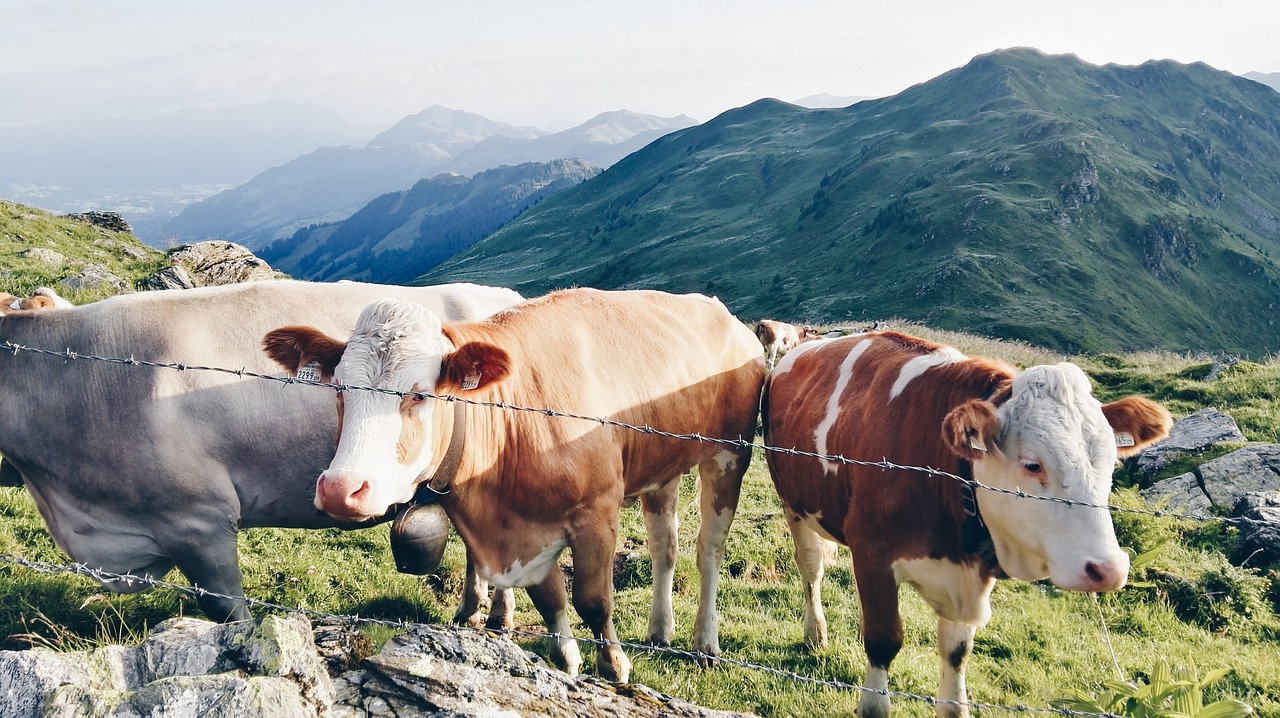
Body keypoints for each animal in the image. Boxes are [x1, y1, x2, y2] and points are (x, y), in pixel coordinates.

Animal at [258, 287, 757, 680]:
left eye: (419, 394)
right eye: (339, 388)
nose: (340, 488)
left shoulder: (596, 510)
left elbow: (593, 600)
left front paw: (614, 666)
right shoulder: (521, 533)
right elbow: (550, 598)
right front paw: (567, 660)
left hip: (729, 454)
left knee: (709, 550)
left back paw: (705, 642)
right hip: (662, 469)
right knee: (664, 547)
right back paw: (658, 631)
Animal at [757, 332, 1172, 716]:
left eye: (1111, 461)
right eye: (1032, 464)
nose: (1108, 569)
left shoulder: (967, 573)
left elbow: (956, 652)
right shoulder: (871, 554)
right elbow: (883, 641)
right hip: (793, 502)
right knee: (811, 568)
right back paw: (815, 632)